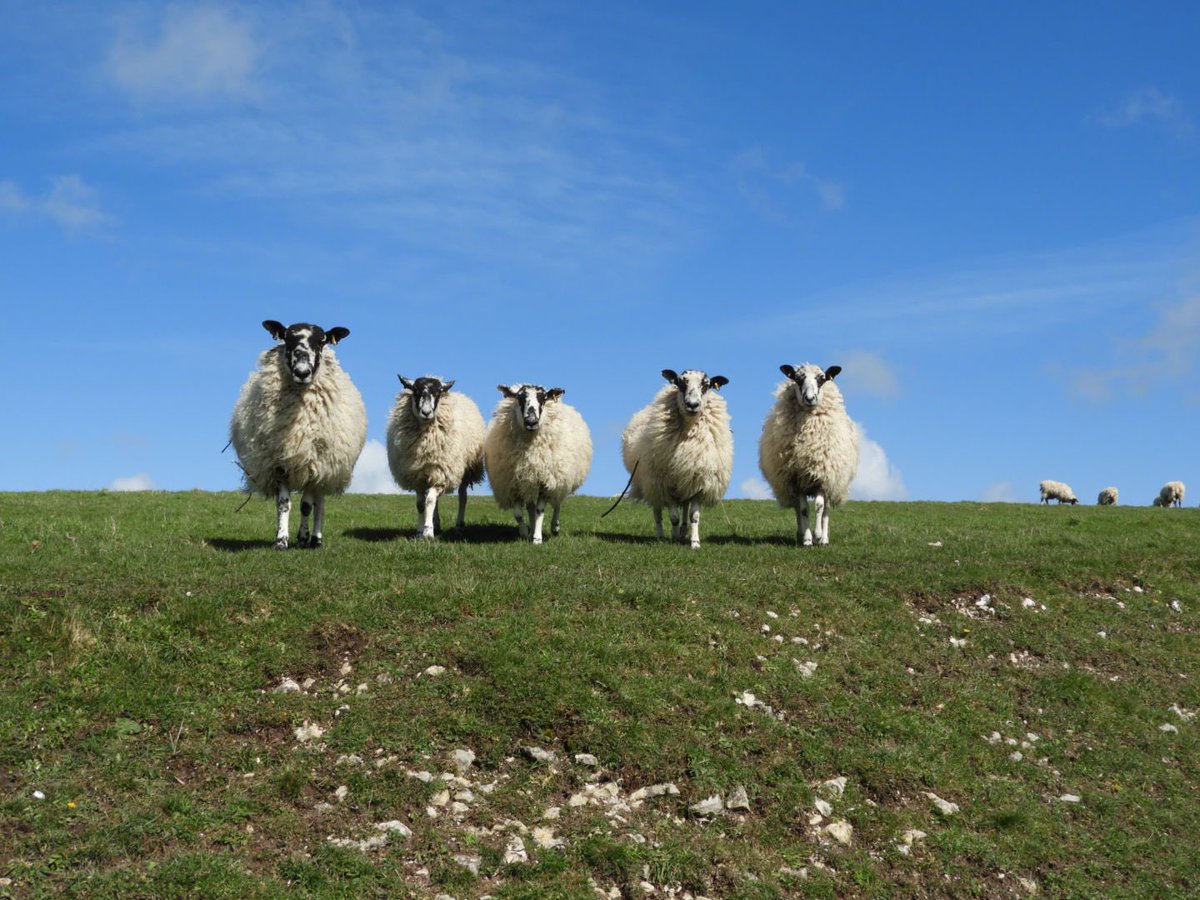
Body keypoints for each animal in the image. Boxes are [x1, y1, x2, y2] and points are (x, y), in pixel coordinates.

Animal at [230, 324, 364, 549]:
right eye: (287, 339)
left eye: (321, 341)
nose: (302, 372)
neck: (298, 423)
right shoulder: (278, 464)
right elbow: (283, 504)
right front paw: (281, 540)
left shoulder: (315, 464)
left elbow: (306, 506)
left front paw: (303, 538)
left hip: (327, 470)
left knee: (320, 504)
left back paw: (316, 539)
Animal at [386, 376, 484, 540]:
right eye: (416, 391)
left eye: (438, 392)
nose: (426, 412)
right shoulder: (418, 476)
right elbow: (421, 504)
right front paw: (420, 532)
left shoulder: (441, 470)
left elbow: (430, 500)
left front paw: (427, 532)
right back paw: (436, 524)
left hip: (466, 469)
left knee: (462, 497)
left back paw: (458, 526)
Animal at [477, 386, 590, 547]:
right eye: (519, 398)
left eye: (543, 398)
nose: (531, 421)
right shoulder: (514, 483)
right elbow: (519, 514)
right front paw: (525, 533)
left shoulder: (545, 481)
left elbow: (540, 510)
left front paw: (537, 538)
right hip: (529, 481)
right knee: (530, 507)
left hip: (560, 477)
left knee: (557, 502)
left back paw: (555, 527)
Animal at [624, 367, 734, 549]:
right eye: (680, 383)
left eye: (706, 385)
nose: (693, 405)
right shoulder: (666, 484)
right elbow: (673, 517)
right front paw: (674, 537)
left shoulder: (698, 482)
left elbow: (693, 516)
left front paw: (695, 542)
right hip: (652, 483)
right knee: (657, 512)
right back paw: (661, 535)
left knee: (685, 508)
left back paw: (683, 531)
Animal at [753, 362, 859, 547]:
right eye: (797, 378)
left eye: (822, 378)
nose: (809, 398)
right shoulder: (796, 479)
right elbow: (803, 510)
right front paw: (808, 539)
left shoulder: (822, 476)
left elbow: (819, 507)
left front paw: (818, 535)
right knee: (798, 508)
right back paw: (801, 534)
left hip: (833, 482)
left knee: (826, 510)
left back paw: (824, 539)